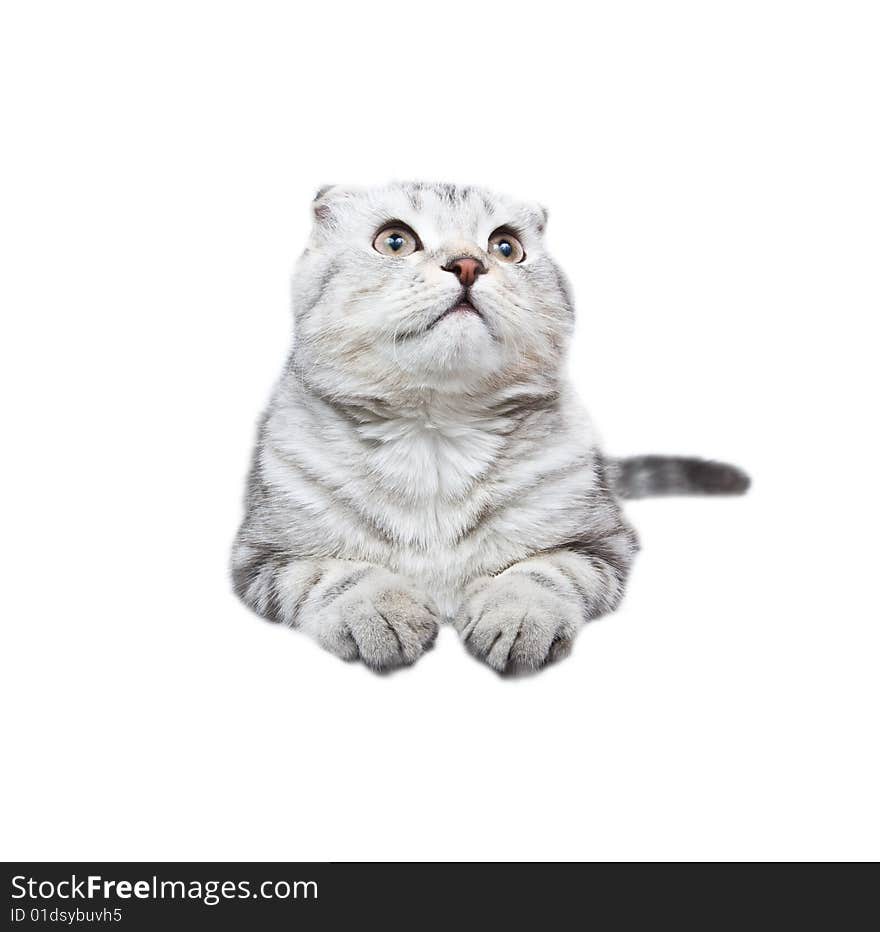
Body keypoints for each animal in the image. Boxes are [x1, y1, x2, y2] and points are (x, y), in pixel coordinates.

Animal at [229, 182, 748, 672]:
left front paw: (518, 614)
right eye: (395, 241)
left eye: (505, 247)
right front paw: (378, 610)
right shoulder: (264, 554)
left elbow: (547, 572)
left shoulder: (602, 543)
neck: (436, 439)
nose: (466, 264)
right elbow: (335, 574)